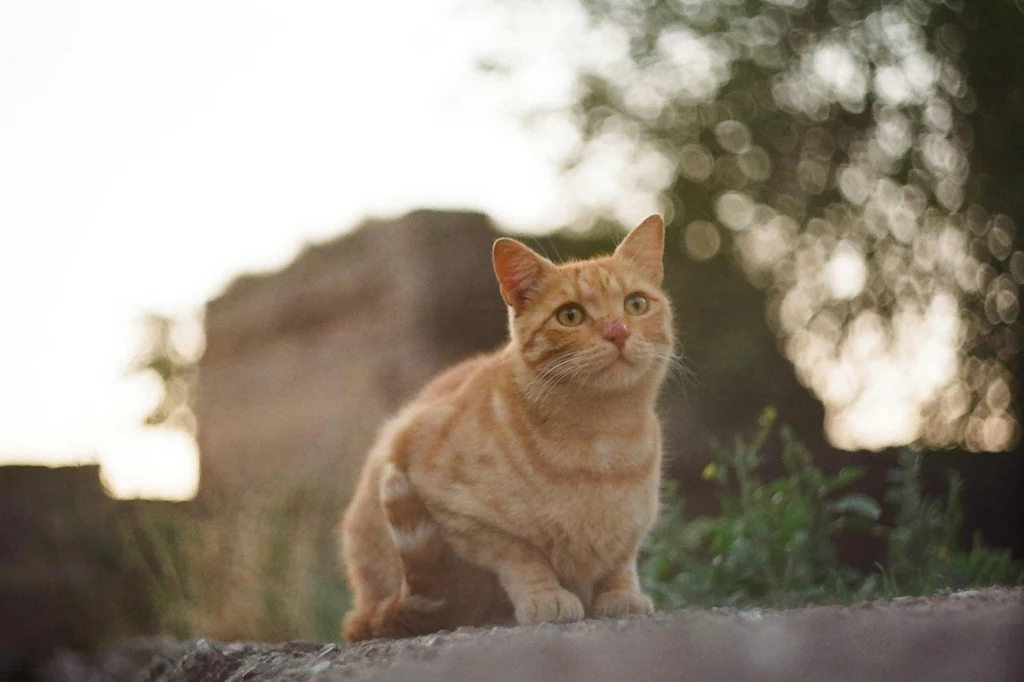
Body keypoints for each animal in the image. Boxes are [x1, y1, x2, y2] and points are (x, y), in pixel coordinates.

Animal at [339, 216, 675, 638]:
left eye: (636, 304)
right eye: (570, 315)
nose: (618, 330)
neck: (603, 437)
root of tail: (361, 608)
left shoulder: (635, 521)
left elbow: (620, 560)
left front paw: (621, 596)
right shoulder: (458, 511)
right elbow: (521, 555)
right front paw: (546, 596)